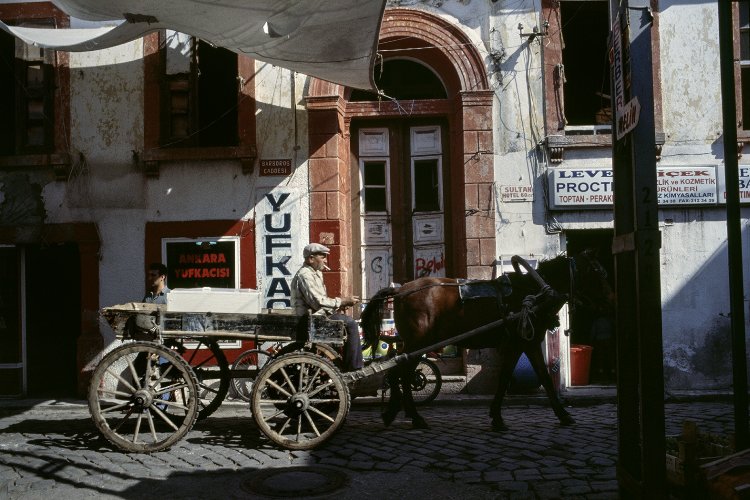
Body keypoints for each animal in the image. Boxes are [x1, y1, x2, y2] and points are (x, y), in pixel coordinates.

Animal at [362, 252, 612, 432]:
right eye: (598, 272)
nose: (610, 301)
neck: (535, 290)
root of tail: (399, 291)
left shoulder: (526, 344)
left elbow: (539, 376)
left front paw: (561, 414)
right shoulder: (519, 344)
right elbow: (513, 378)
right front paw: (500, 418)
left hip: (414, 345)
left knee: (397, 373)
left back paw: (394, 412)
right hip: (419, 343)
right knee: (402, 374)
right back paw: (413, 416)